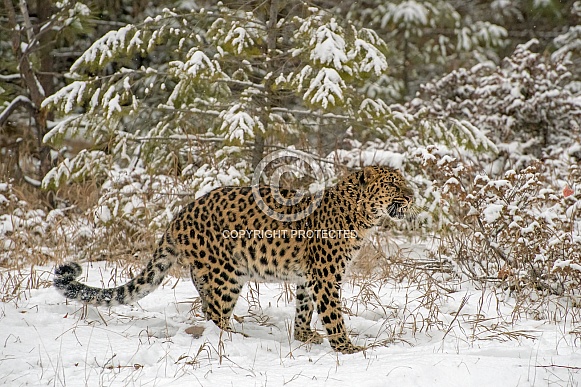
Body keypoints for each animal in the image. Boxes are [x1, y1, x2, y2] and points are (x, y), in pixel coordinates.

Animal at [53, 165, 412, 354]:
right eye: (392, 183)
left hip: (208, 273)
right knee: (215, 311)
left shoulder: (308, 276)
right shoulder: (325, 275)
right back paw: (237, 339)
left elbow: (304, 307)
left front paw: (304, 336)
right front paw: (347, 349)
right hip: (227, 273)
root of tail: (178, 216)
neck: (362, 215)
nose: (411, 196)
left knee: (206, 306)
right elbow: (333, 315)